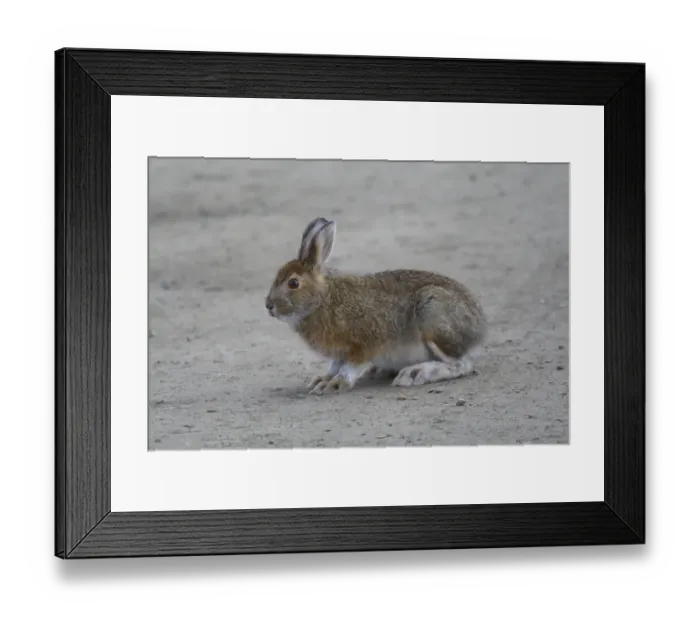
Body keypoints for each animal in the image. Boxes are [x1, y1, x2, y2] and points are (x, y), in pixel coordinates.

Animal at [264, 217, 487, 395]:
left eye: (293, 283)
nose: (268, 306)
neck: (323, 299)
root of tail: (479, 326)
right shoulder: (339, 353)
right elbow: (334, 366)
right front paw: (322, 380)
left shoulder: (364, 343)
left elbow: (349, 367)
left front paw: (334, 384)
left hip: (431, 315)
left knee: (461, 364)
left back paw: (414, 373)